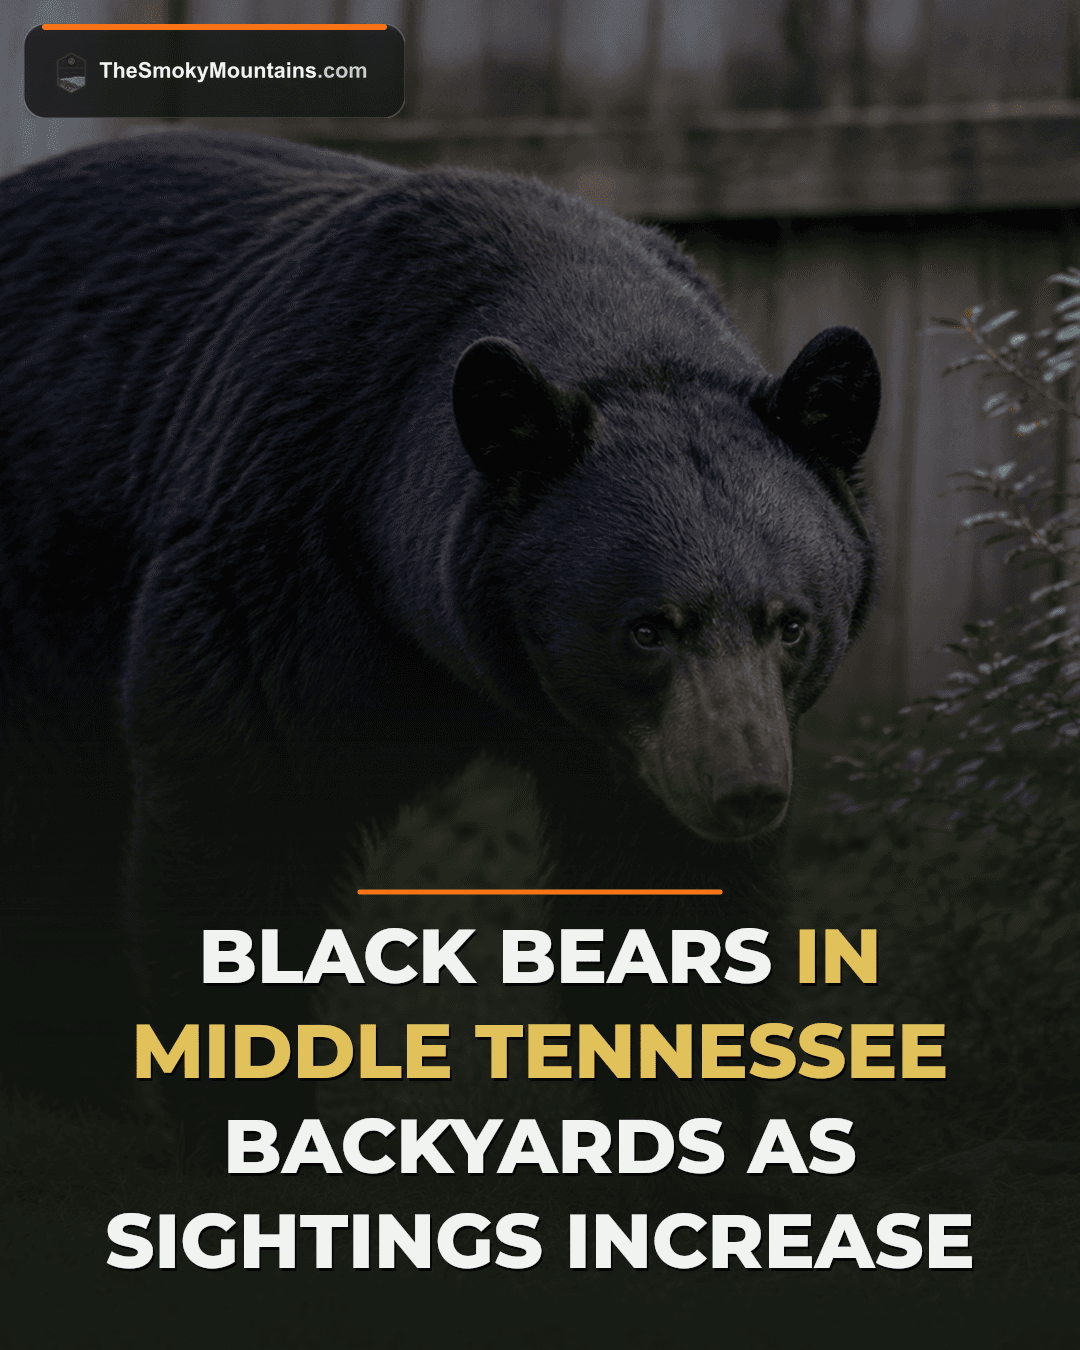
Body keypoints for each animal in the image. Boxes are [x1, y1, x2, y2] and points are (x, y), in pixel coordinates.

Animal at [0, 130, 879, 1164]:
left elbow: (669, 890)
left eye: (792, 622)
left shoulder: (648, 749)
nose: (744, 790)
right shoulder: (283, 560)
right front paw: (249, 1124)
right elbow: (246, 806)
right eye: (646, 628)